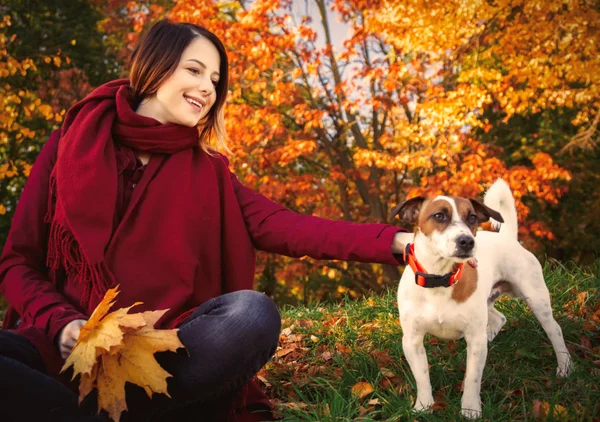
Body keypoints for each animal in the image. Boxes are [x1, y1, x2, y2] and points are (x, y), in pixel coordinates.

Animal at [390, 178, 572, 418]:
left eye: (472, 218)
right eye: (439, 216)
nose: (466, 241)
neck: (440, 280)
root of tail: (507, 237)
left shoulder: (473, 339)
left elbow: (472, 378)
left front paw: (470, 408)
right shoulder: (412, 340)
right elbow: (422, 376)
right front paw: (424, 406)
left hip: (536, 299)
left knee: (554, 330)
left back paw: (565, 367)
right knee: (499, 318)